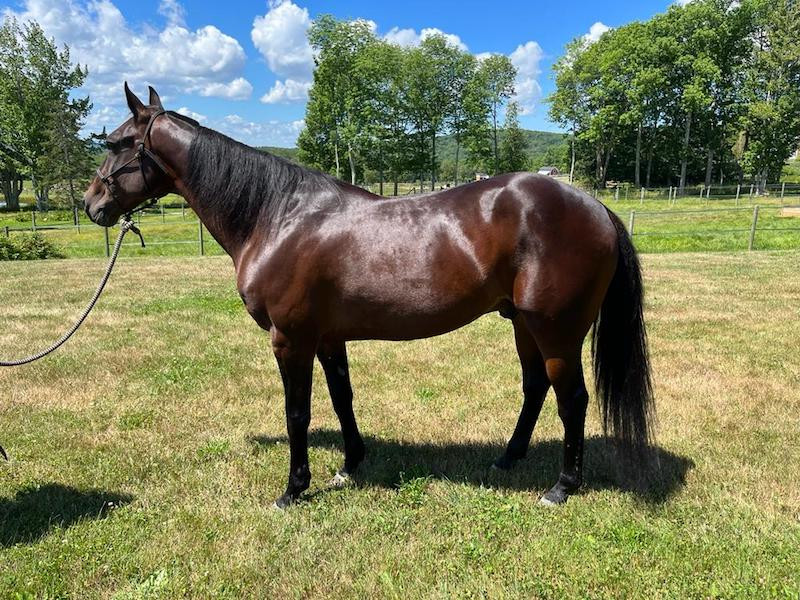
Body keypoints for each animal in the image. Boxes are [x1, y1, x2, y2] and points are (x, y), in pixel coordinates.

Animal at [84, 84, 654, 508]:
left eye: (115, 144)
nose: (92, 205)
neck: (278, 217)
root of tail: (594, 205)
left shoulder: (290, 339)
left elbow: (298, 412)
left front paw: (294, 489)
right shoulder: (327, 338)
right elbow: (342, 399)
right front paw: (350, 464)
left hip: (556, 330)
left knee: (571, 399)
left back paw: (561, 487)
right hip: (521, 323)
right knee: (535, 388)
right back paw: (508, 459)